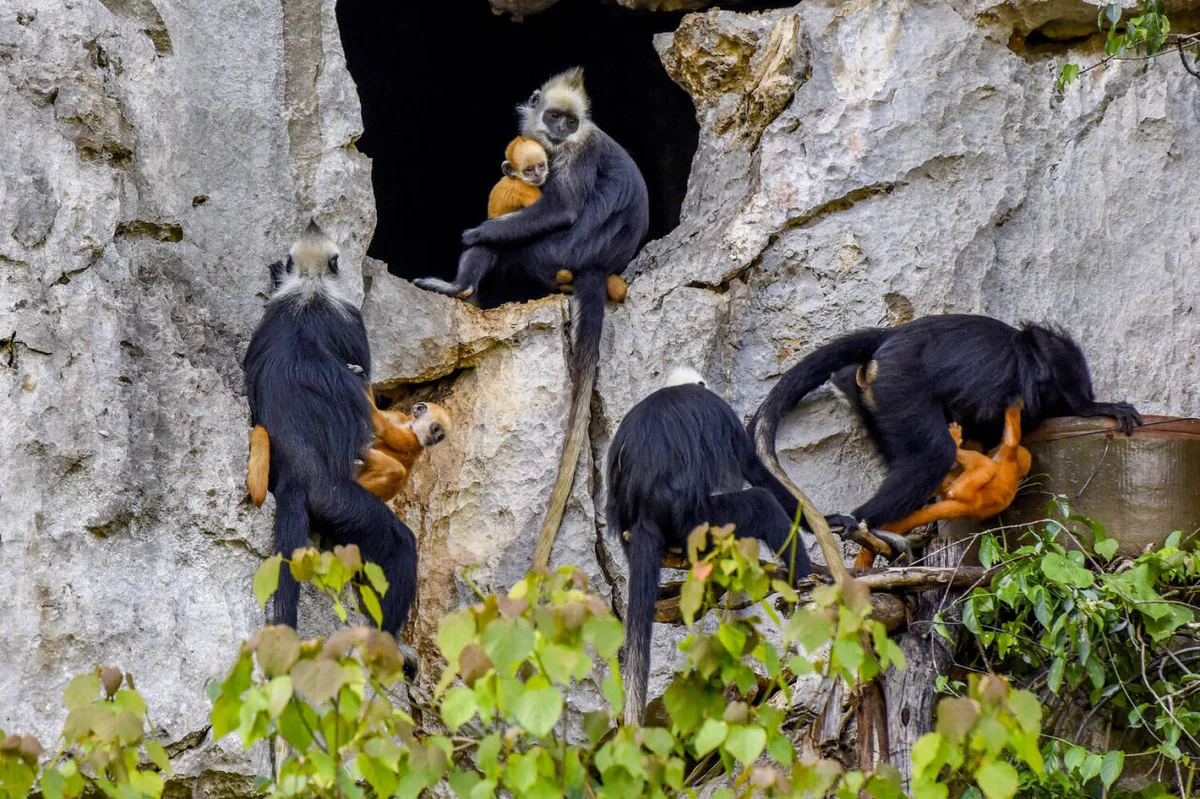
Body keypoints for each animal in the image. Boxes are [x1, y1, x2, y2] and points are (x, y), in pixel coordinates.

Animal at [241, 220, 420, 643]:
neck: (311, 287)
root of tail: (297, 476)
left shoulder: (271, 316)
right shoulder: (350, 316)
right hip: (339, 503)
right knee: (399, 545)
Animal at [417, 65, 652, 568]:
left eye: (570, 122)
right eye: (554, 116)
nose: (559, 130)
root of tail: (598, 266)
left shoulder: (575, 153)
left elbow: (559, 207)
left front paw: (476, 232)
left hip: (552, 254)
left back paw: (462, 285)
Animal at [748, 314, 1142, 532]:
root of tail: (892, 336)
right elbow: (1046, 343)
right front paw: (1095, 406)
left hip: (876, 394)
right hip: (900, 383)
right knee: (933, 454)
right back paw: (861, 519)